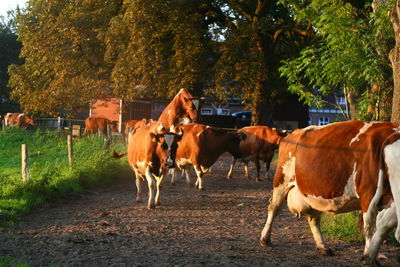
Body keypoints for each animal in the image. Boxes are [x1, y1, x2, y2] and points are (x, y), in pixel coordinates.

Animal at [258, 121, 400, 266]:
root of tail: (294, 132)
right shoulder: (368, 194)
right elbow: (370, 227)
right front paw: (369, 257)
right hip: (282, 180)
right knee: (274, 207)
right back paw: (265, 238)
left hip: (312, 192)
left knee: (313, 218)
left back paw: (322, 247)